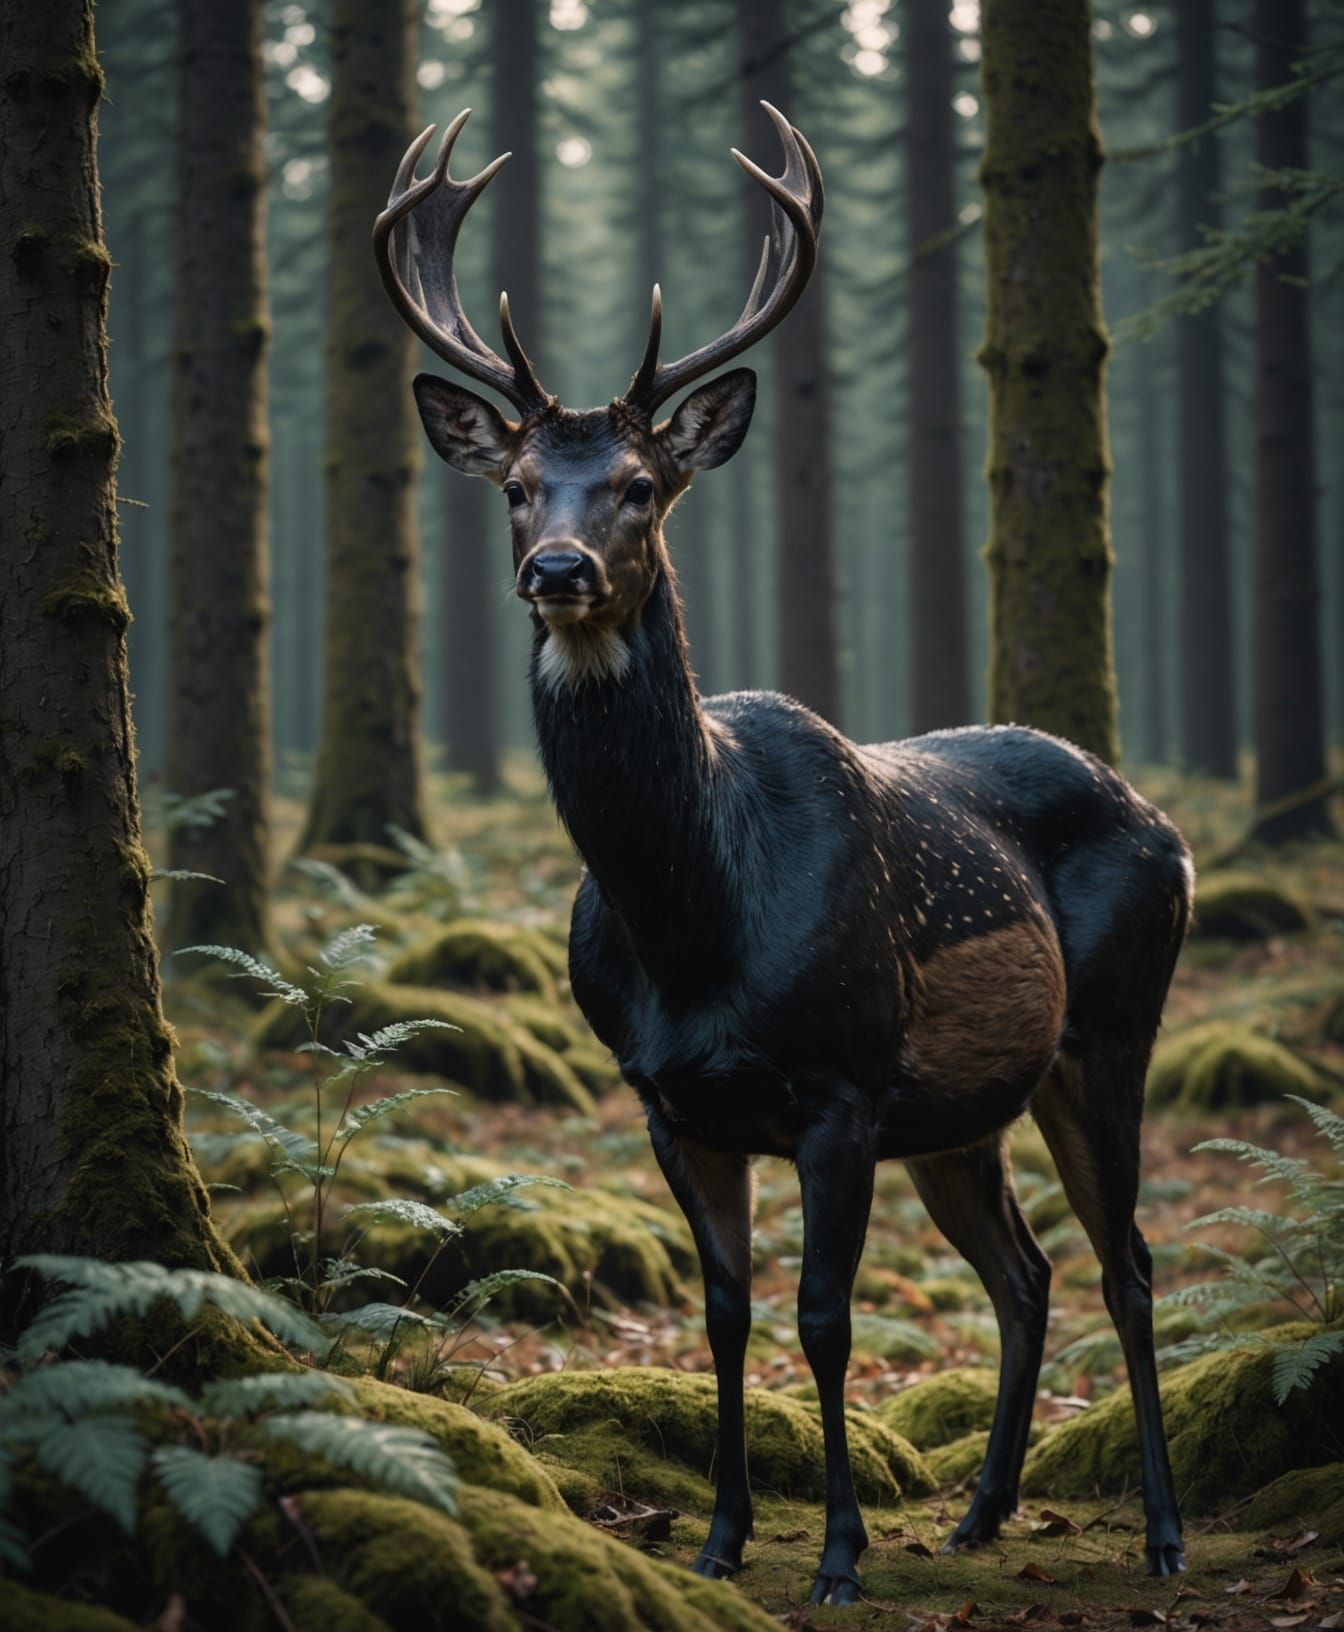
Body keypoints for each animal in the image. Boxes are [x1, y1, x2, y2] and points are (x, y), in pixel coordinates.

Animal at [374, 105, 1194, 1605]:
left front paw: (838, 1555)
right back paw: (983, 1513)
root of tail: (1167, 828)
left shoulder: (839, 1082)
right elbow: (724, 1310)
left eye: (642, 485)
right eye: (516, 487)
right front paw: (717, 1537)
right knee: (1026, 1273)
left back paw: (1160, 1531)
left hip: (1108, 1026)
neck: (695, 928)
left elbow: (823, 1317)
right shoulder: (669, 1100)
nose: (559, 570)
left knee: (1128, 1264)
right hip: (963, 1107)